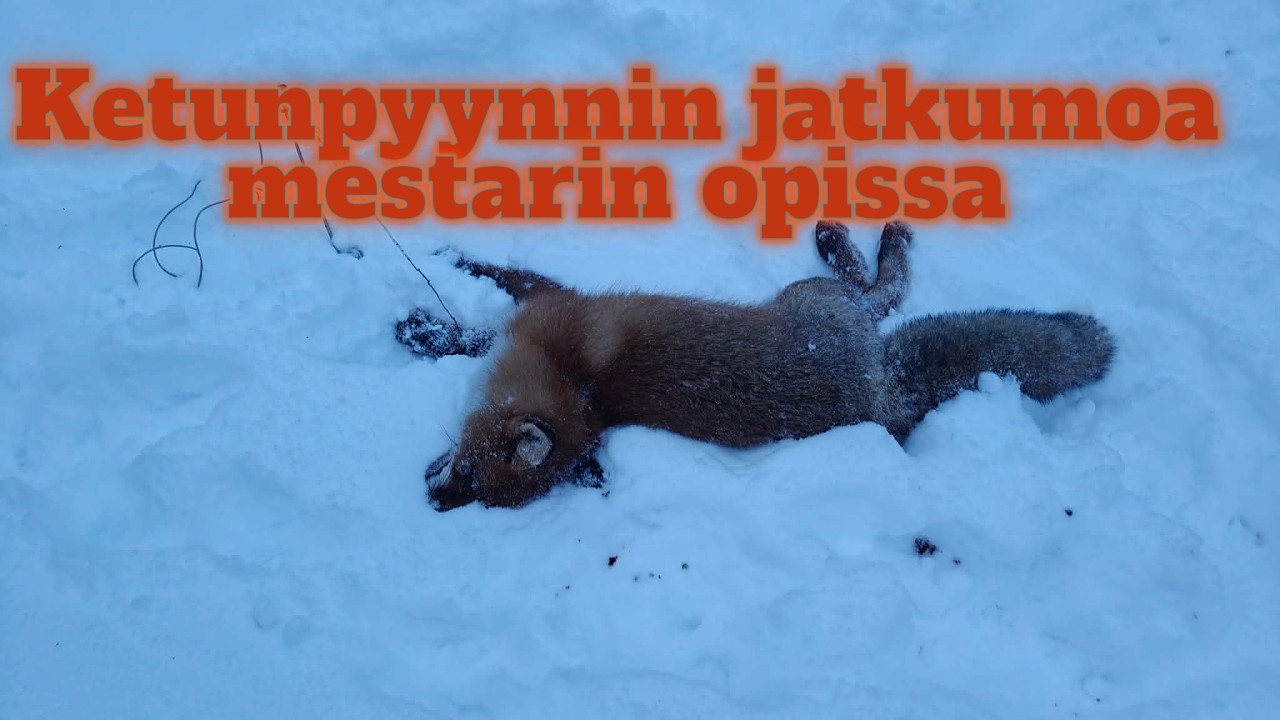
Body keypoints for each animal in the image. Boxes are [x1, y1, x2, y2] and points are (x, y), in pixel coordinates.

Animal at [407, 220, 1115, 511]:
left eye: (470, 477)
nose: (433, 501)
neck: (580, 385)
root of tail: (882, 394)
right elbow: (475, 328)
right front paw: (424, 328)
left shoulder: (550, 301)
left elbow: (487, 291)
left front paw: (428, 307)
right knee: (882, 297)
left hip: (808, 296)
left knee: (881, 291)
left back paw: (855, 241)